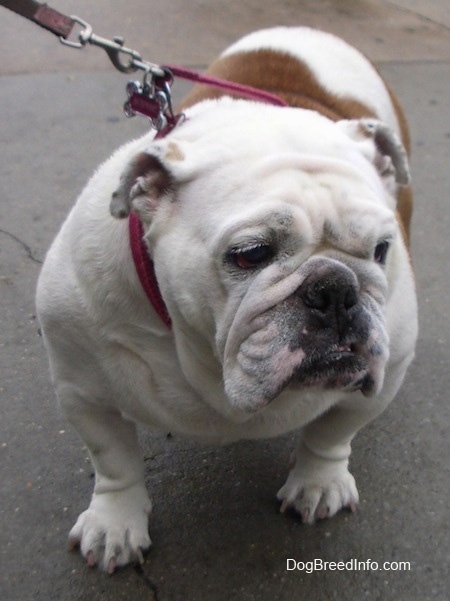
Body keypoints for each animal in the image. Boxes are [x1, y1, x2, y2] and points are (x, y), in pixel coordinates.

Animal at [36, 28, 418, 572]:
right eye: (250, 254)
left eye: (382, 249)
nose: (335, 289)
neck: (207, 357)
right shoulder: (82, 387)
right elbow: (113, 459)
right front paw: (115, 524)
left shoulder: (390, 364)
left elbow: (334, 433)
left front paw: (318, 483)